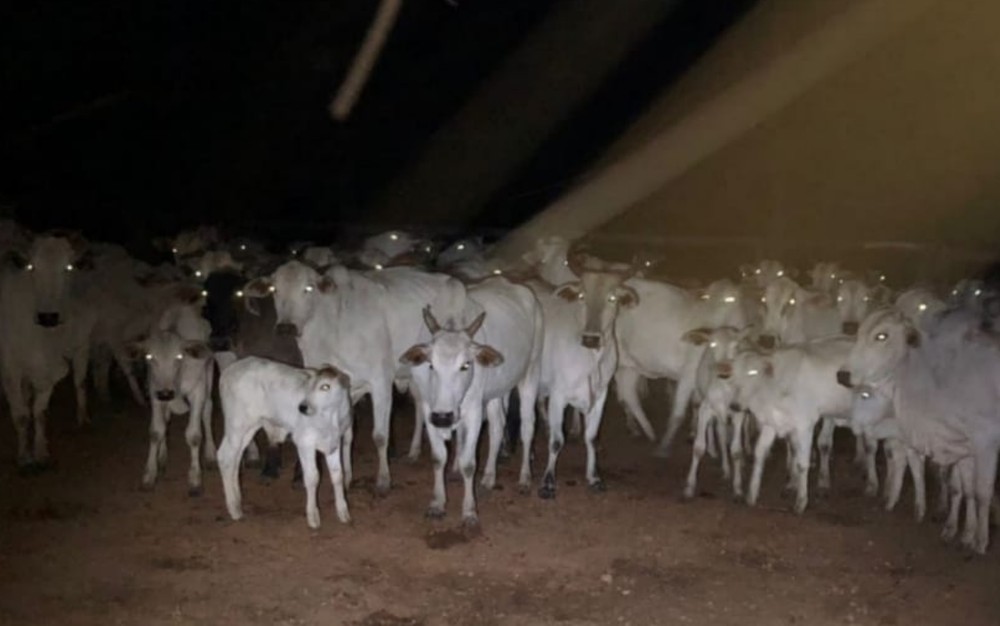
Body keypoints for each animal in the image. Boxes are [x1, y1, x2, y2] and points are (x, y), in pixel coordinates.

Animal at [0, 232, 97, 466]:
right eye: (32, 267)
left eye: (68, 267)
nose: (48, 317)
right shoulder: (10, 371)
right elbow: (21, 415)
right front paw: (24, 456)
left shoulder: (50, 370)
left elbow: (40, 412)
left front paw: (40, 450)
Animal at [217, 356, 354, 528]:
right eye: (309, 385)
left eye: (325, 386)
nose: (302, 407)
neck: (330, 418)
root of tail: (230, 370)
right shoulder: (304, 441)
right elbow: (312, 478)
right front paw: (313, 516)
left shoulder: (334, 442)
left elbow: (337, 476)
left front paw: (343, 512)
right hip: (236, 424)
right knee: (225, 457)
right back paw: (234, 509)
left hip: (249, 427)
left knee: (235, 458)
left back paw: (237, 502)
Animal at [242, 260, 464, 492]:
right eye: (274, 289)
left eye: (308, 288)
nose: (286, 327)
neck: (333, 325)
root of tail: (454, 281)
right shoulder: (343, 391)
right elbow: (346, 436)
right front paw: (347, 476)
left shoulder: (381, 383)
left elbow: (380, 435)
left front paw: (383, 480)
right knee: (421, 406)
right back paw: (413, 452)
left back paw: (455, 467)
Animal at [398, 278, 540, 520]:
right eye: (431, 365)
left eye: (466, 365)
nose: (443, 417)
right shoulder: (429, 409)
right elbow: (438, 458)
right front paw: (438, 502)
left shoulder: (473, 410)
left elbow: (468, 463)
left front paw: (469, 511)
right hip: (496, 392)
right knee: (497, 426)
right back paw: (490, 477)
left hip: (529, 374)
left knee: (528, 427)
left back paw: (524, 478)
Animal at [840, 308, 1000, 552]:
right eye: (858, 333)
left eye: (882, 336)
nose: (842, 375)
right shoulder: (963, 444)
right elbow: (965, 490)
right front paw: (963, 533)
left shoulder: (986, 442)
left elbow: (982, 493)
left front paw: (980, 542)